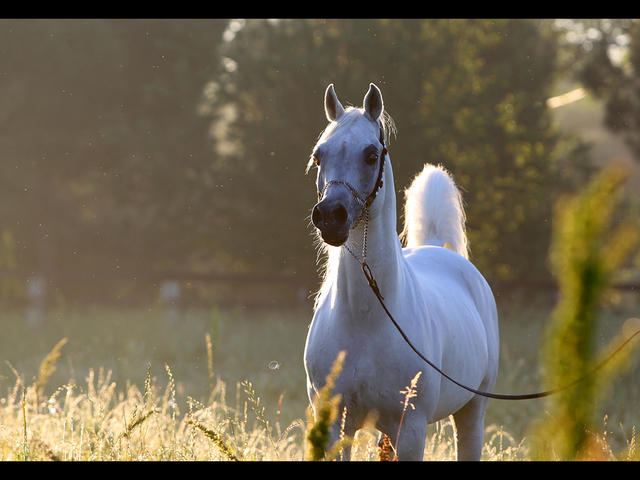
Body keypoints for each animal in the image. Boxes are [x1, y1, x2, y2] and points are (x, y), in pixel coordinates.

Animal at [304, 83, 500, 462]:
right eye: (319, 156)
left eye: (370, 155)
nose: (330, 216)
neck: (365, 318)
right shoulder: (336, 427)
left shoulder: (410, 430)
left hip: (472, 412)